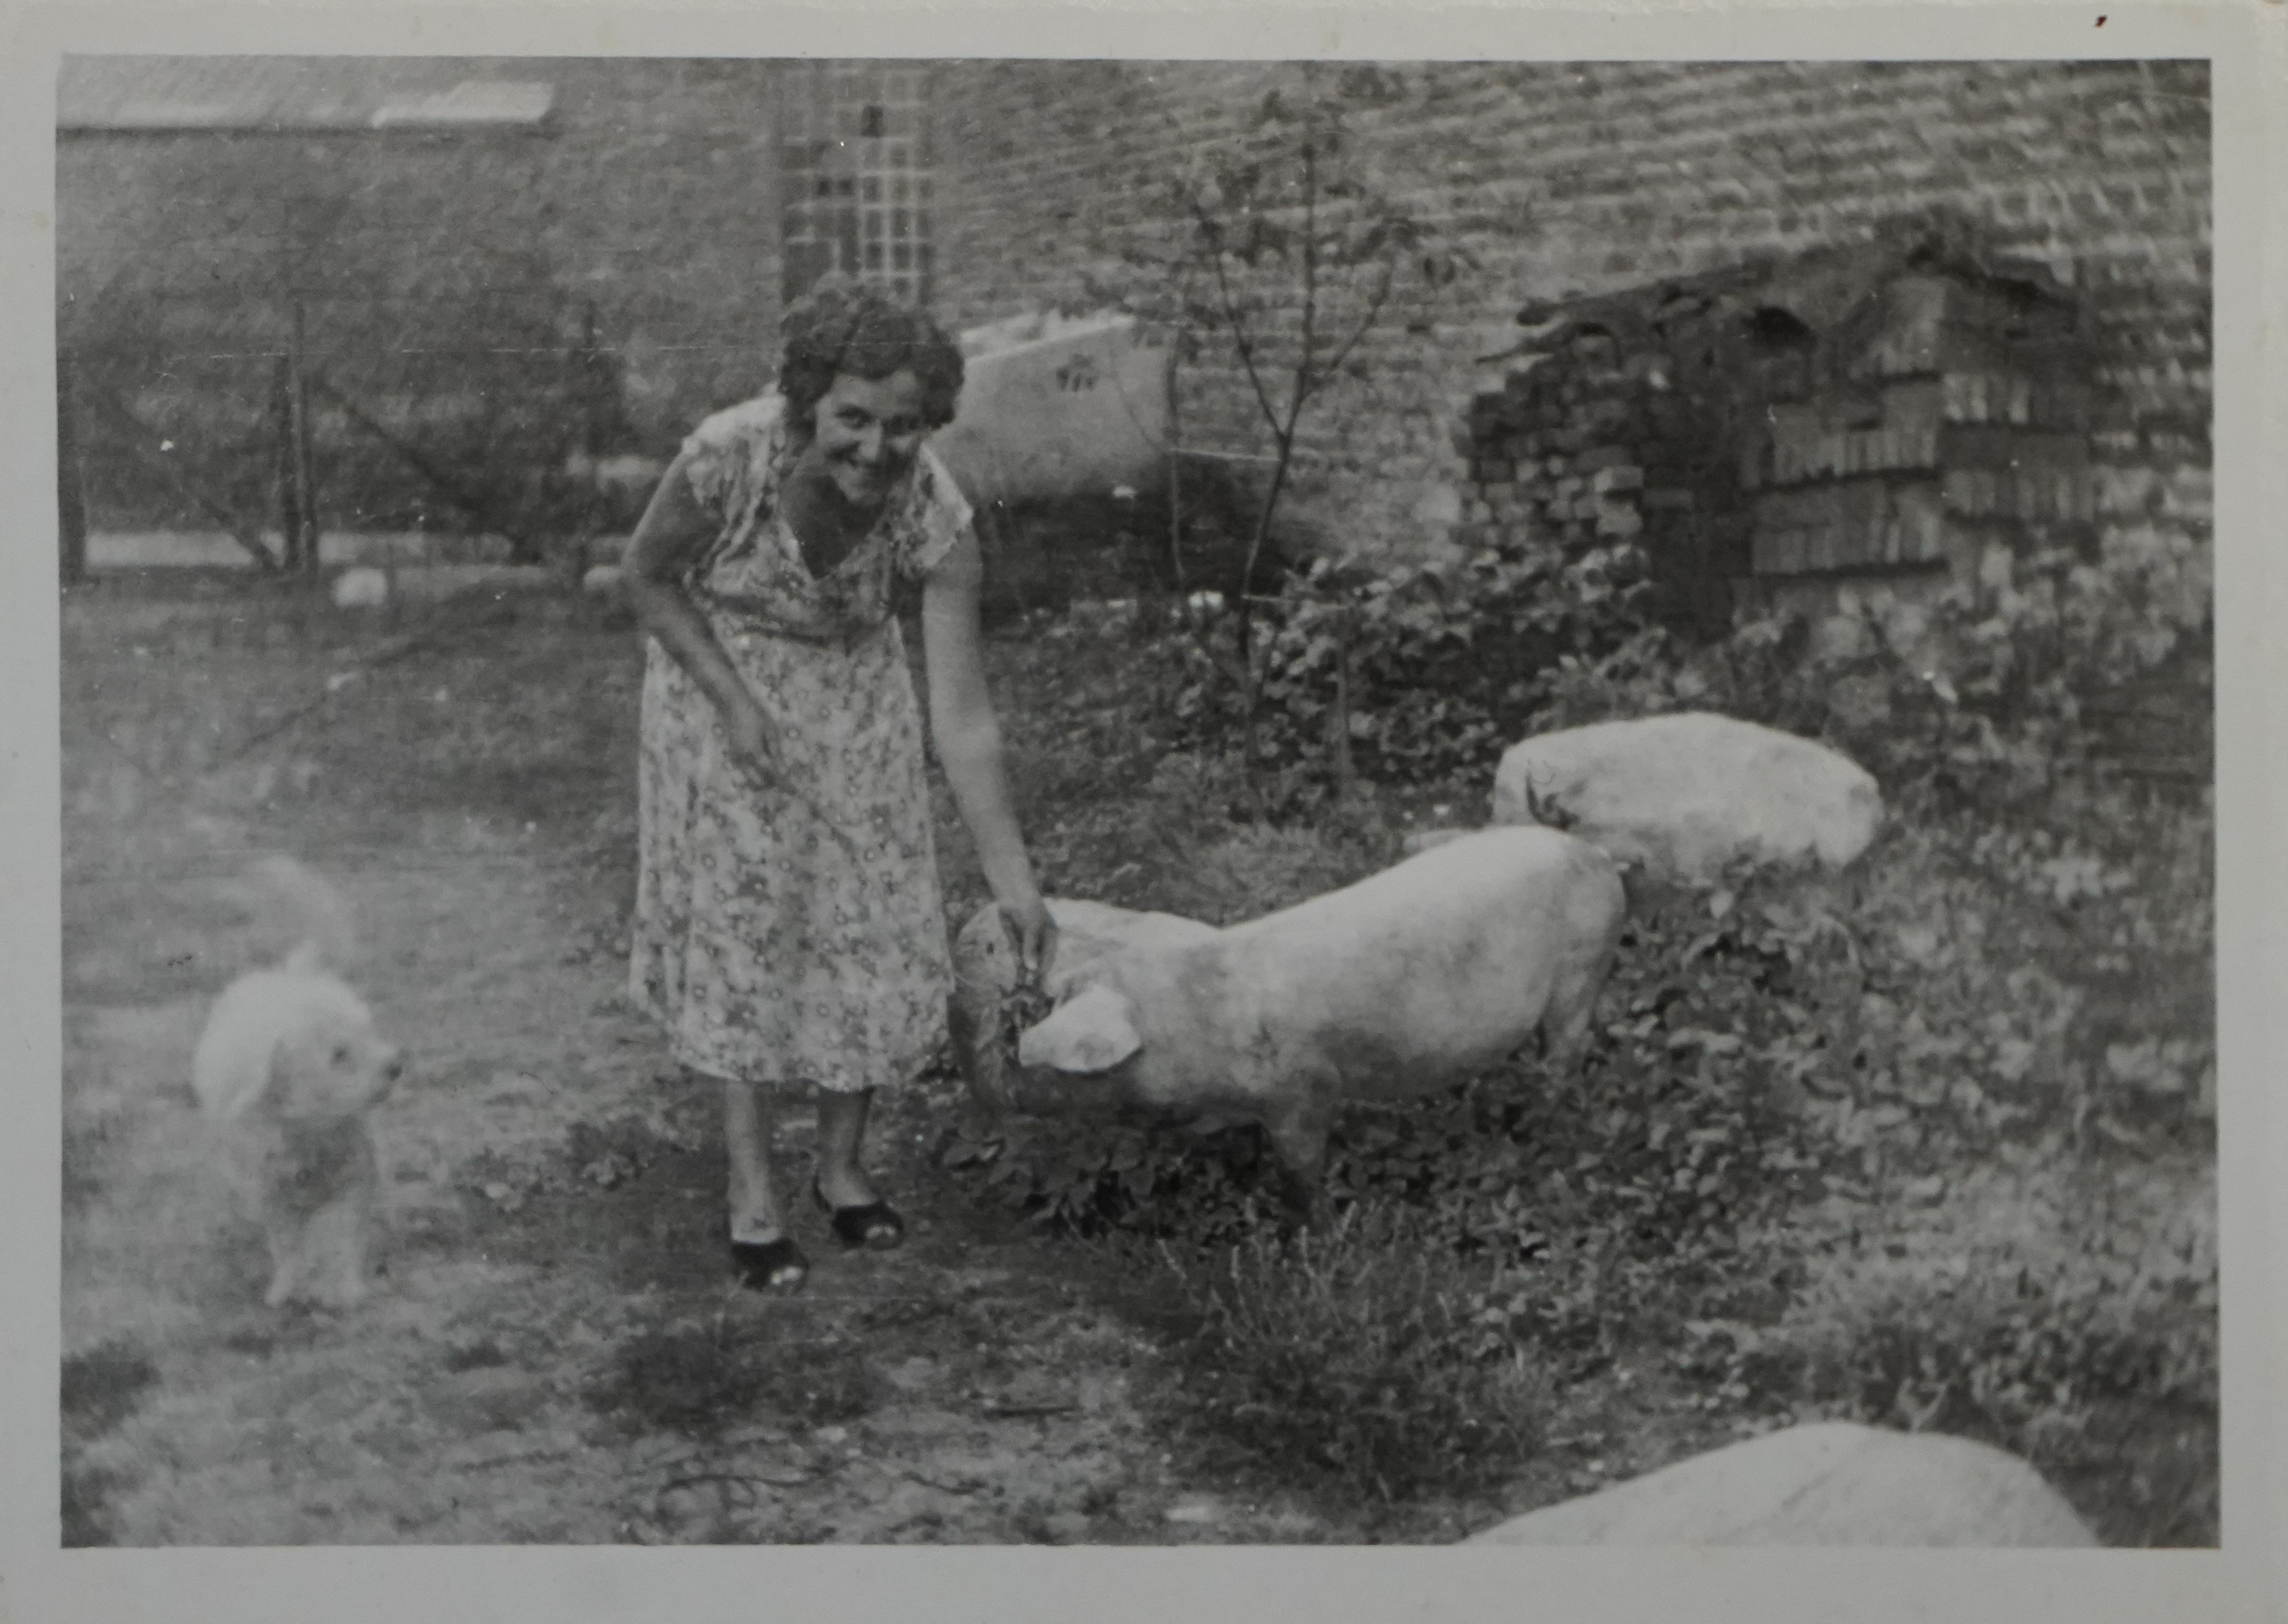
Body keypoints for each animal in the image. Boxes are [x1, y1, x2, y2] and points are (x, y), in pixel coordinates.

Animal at [193, 865, 407, 1308]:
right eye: (339, 1055)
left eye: (369, 1033)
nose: (396, 1065)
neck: (310, 1130)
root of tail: (290, 975)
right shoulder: (271, 1196)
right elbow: (287, 1247)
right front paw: (288, 1288)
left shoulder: (353, 1181)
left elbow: (342, 1238)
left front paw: (343, 1288)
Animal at [947, 828, 1629, 1225]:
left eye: (1032, 1020)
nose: (974, 1079)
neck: (1188, 1021)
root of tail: (1597, 855)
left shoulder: (1302, 1088)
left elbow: (1301, 1169)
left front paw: (1310, 1234)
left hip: (1581, 966)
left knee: (1563, 1060)